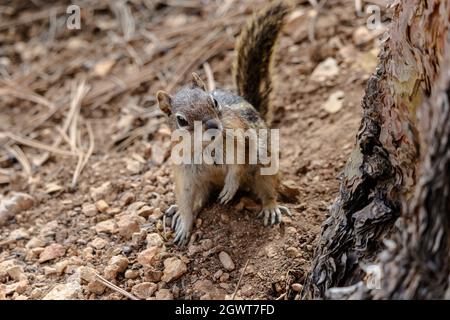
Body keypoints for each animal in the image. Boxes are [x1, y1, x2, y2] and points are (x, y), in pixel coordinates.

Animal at [157, 1, 292, 245]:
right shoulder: (184, 172)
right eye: (181, 120)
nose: (213, 125)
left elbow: (237, 166)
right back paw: (176, 212)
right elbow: (186, 198)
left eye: (213, 101)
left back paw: (270, 208)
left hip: (265, 165)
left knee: (268, 188)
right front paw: (184, 224)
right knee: (199, 199)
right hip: (204, 183)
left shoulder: (240, 139)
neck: (206, 146)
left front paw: (230, 186)